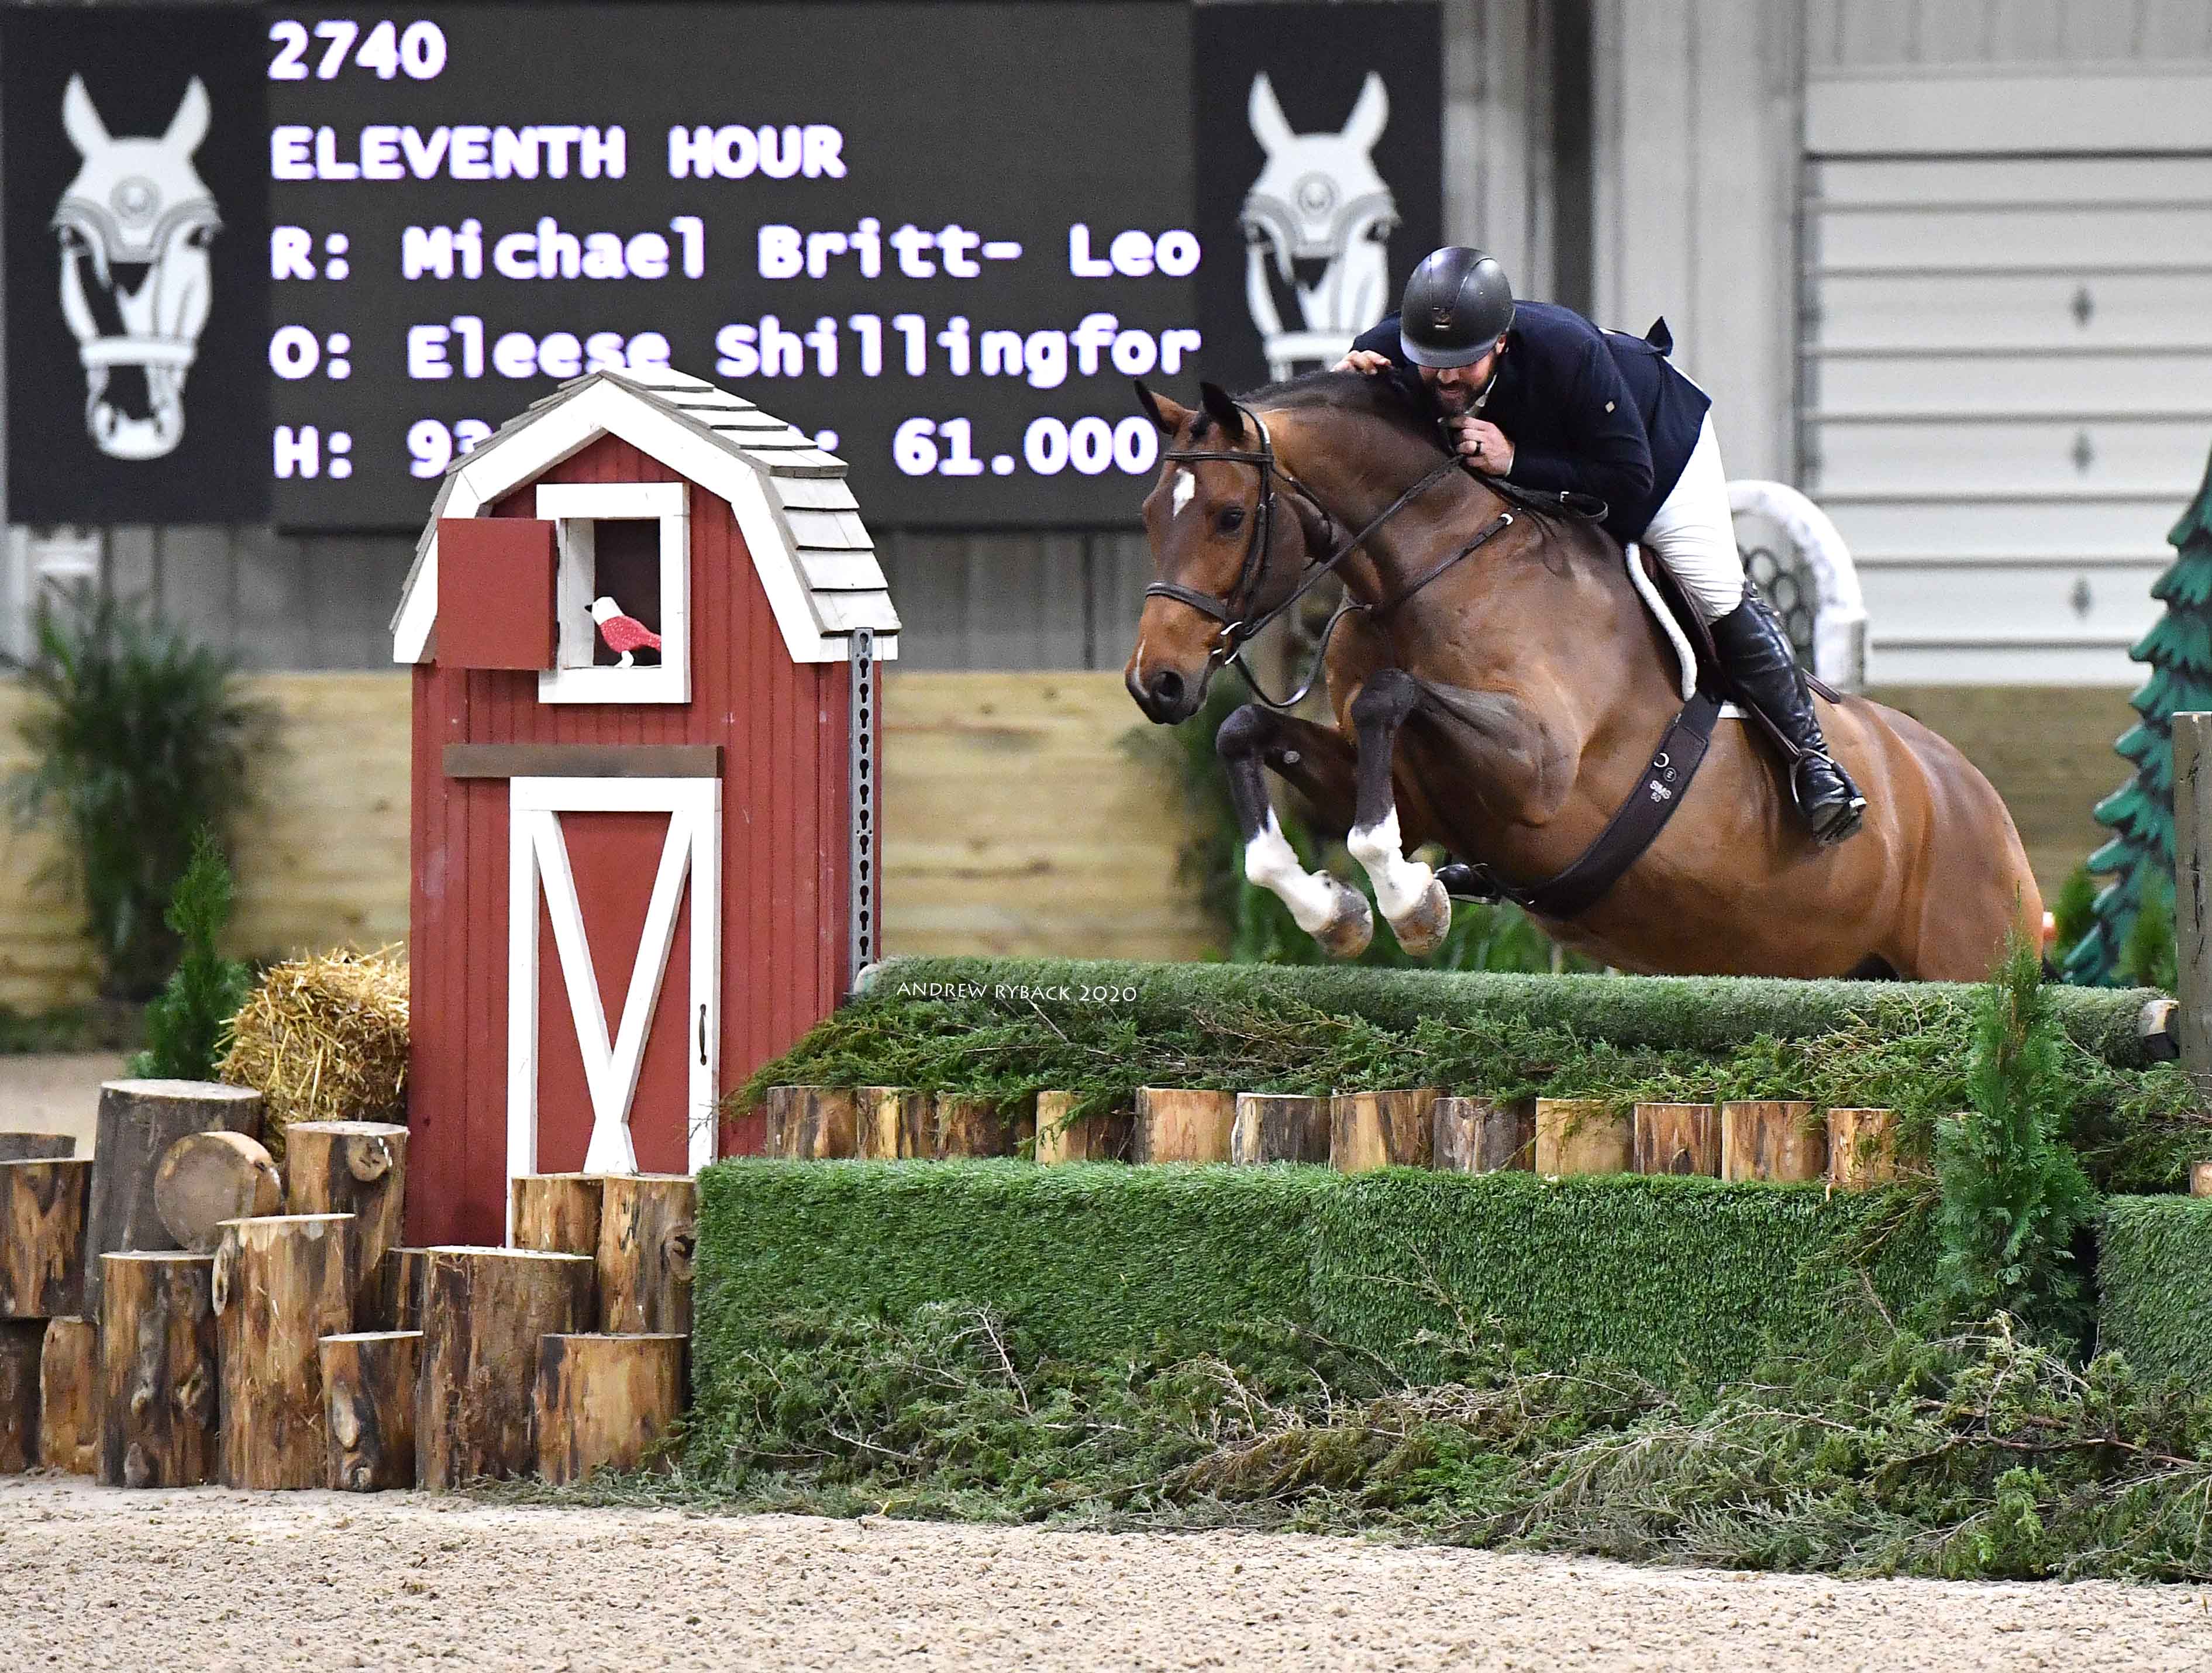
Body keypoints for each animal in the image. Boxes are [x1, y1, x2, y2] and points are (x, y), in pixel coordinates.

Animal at [1124, 376, 2035, 978]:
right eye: (1149, 518)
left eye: (1229, 516)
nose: (1154, 684)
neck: (1426, 566)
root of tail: (1977, 798)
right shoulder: (1399, 780)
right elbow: (1247, 730)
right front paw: (1330, 909)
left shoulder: (1540, 771)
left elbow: (1391, 698)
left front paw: (1412, 902)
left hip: (1965, 958)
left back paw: (1826, 790)